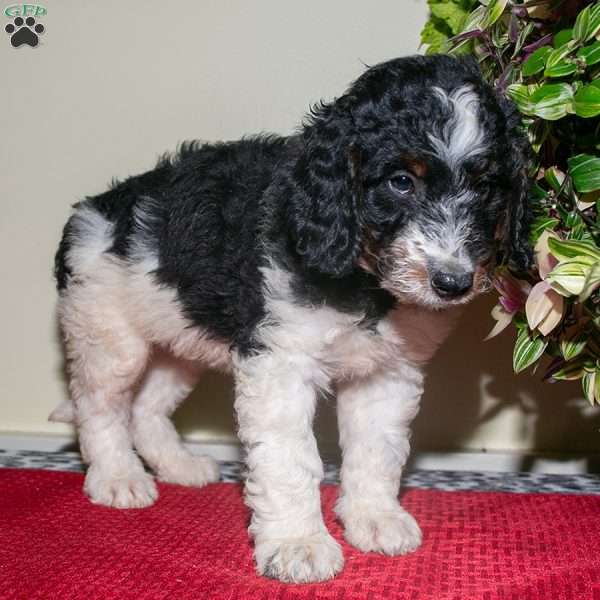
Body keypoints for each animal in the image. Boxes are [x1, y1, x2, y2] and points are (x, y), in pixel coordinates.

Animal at [51, 55, 528, 580]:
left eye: (486, 187)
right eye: (401, 181)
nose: (453, 282)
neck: (362, 279)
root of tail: (96, 209)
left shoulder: (387, 373)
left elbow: (376, 450)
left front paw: (374, 518)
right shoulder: (280, 365)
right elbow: (290, 458)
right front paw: (299, 544)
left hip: (180, 339)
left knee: (145, 407)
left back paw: (179, 466)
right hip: (109, 336)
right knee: (99, 407)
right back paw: (117, 477)